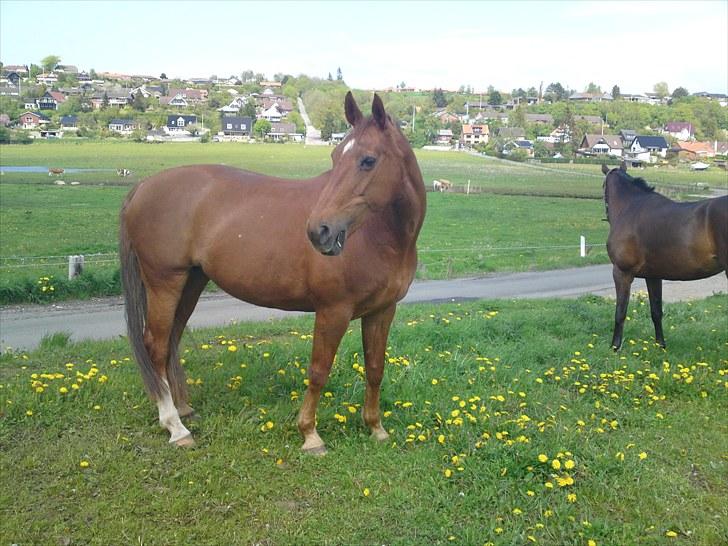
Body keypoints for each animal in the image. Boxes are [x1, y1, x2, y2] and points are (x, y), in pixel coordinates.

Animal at [119, 92, 426, 450]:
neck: (381, 237)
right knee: (156, 345)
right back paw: (175, 427)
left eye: (368, 160)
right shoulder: (333, 310)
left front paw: (375, 427)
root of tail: (143, 186)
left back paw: (183, 410)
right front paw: (310, 434)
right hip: (164, 282)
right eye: (336, 157)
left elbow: (375, 367)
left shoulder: (382, 311)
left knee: (172, 340)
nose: (318, 231)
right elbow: (319, 370)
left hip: (191, 281)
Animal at [600, 163, 724, 348]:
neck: (630, 208)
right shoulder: (653, 276)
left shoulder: (622, 273)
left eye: (603, 186)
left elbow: (620, 313)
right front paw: (661, 345)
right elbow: (656, 311)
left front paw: (615, 347)